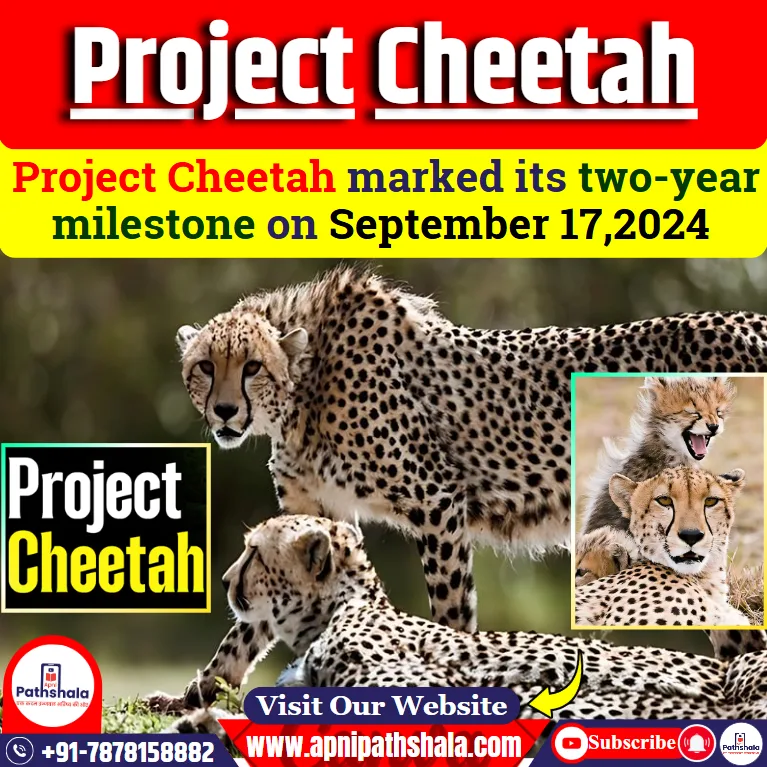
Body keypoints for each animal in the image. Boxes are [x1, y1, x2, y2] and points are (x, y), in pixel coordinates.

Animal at [176, 268, 767, 701]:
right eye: (204, 366)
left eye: (252, 366)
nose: (224, 412)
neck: (304, 389)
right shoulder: (315, 517)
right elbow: (249, 622)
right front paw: (202, 691)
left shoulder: (436, 502)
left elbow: (452, 611)